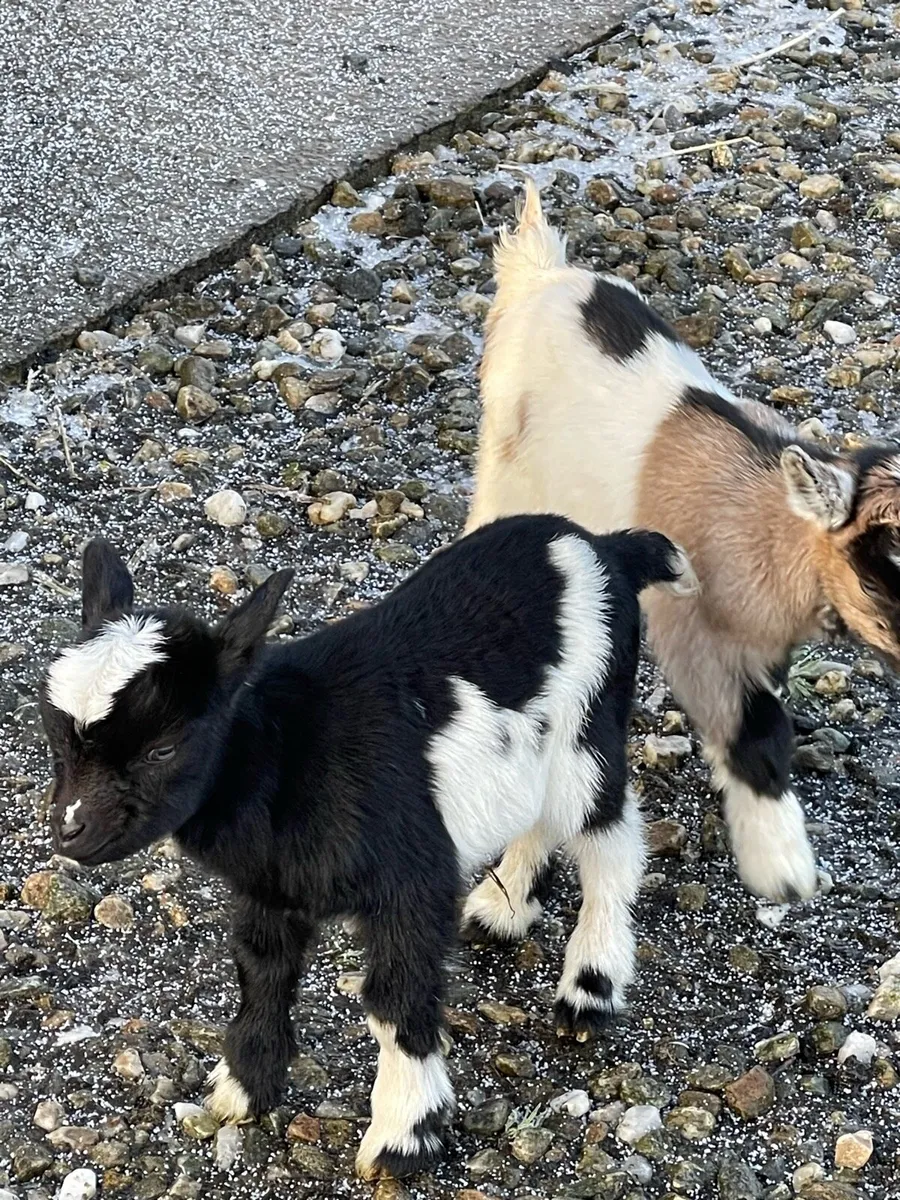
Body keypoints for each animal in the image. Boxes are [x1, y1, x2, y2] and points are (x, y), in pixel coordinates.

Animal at [40, 517, 694, 1179]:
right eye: (54, 731)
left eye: (163, 749)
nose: (70, 830)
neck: (289, 752)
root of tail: (602, 546)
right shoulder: (268, 885)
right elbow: (261, 969)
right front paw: (245, 1086)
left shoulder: (412, 880)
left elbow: (394, 999)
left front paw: (405, 1136)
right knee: (538, 818)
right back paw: (503, 911)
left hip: (587, 729)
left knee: (609, 839)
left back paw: (591, 987)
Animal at [467, 177, 900, 905]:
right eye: (880, 574)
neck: (769, 520)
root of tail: (540, 271)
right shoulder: (694, 627)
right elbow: (755, 728)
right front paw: (782, 869)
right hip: (505, 461)